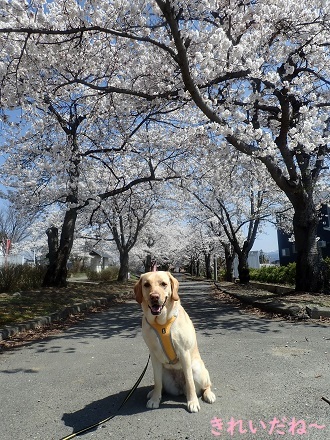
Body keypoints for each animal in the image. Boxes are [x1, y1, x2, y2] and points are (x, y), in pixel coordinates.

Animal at [134, 272, 217, 412]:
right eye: (146, 284)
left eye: (163, 284)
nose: (154, 297)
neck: (161, 323)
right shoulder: (154, 355)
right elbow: (157, 381)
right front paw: (155, 399)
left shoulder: (184, 352)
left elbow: (189, 382)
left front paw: (193, 402)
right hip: (164, 373)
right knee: (160, 384)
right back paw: (153, 392)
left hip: (197, 369)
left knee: (205, 385)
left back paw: (208, 394)